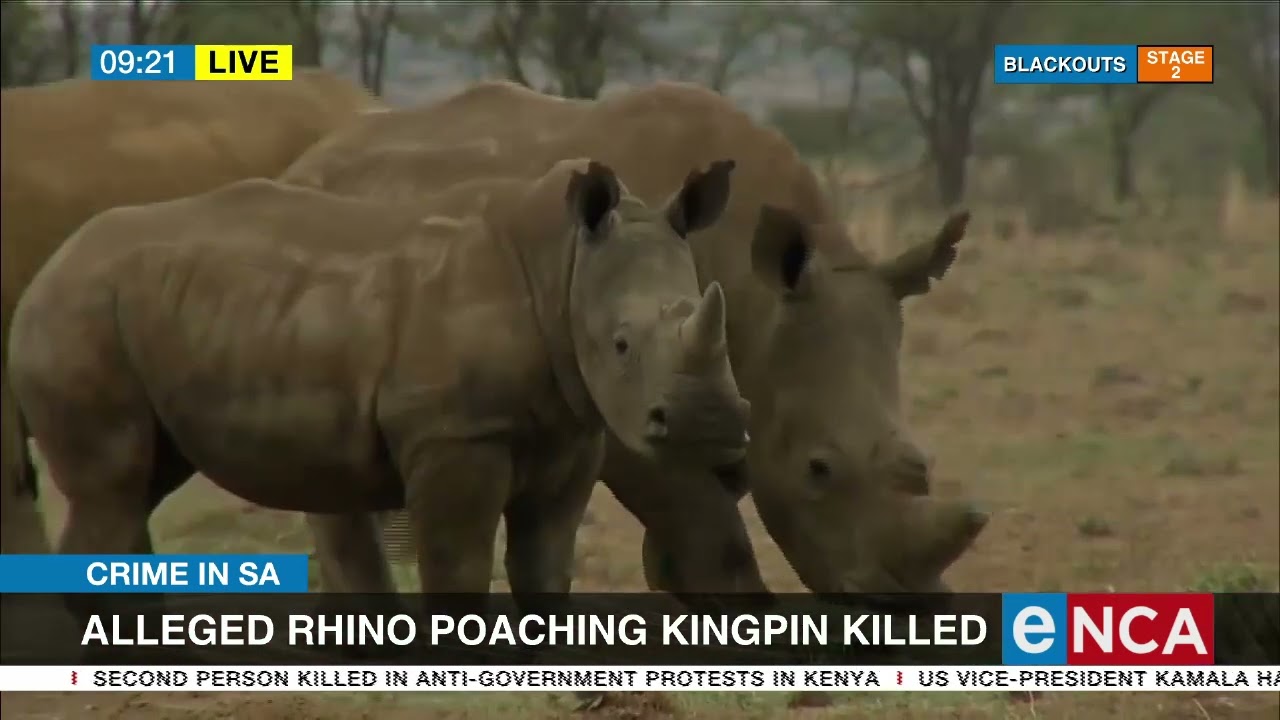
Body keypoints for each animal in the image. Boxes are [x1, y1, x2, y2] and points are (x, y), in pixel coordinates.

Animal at [8, 159, 752, 625]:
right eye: (622, 344)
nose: (709, 425)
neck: (561, 265)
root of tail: (47, 269)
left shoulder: (572, 430)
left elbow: (545, 567)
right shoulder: (456, 433)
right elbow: (458, 563)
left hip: (138, 308)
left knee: (140, 481)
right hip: (77, 312)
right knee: (115, 479)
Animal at [279, 80, 989, 602]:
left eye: (924, 467)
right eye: (818, 469)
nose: (908, 606)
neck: (755, 294)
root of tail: (303, 160)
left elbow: (694, 528)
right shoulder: (638, 407)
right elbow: (714, 535)